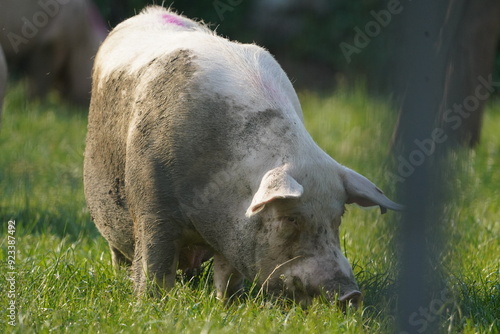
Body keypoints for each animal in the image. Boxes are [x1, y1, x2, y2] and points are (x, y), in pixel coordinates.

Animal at [83, 5, 402, 308]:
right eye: (290, 219)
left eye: (338, 217)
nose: (351, 294)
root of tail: (149, 12)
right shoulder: (152, 204)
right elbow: (155, 264)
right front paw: (150, 305)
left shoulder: (233, 229)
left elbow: (228, 273)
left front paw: (229, 305)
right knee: (119, 252)